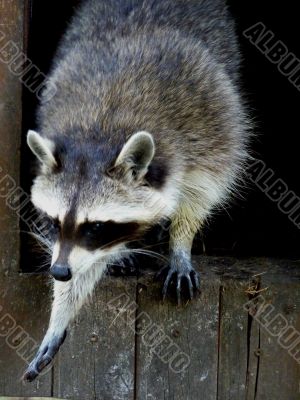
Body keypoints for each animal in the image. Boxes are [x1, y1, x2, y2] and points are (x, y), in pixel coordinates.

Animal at [22, 0, 248, 382]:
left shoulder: (209, 125)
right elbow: (79, 261)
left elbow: (205, 189)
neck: (99, 133)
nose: (59, 273)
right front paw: (62, 308)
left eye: (96, 226)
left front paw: (180, 241)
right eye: (54, 222)